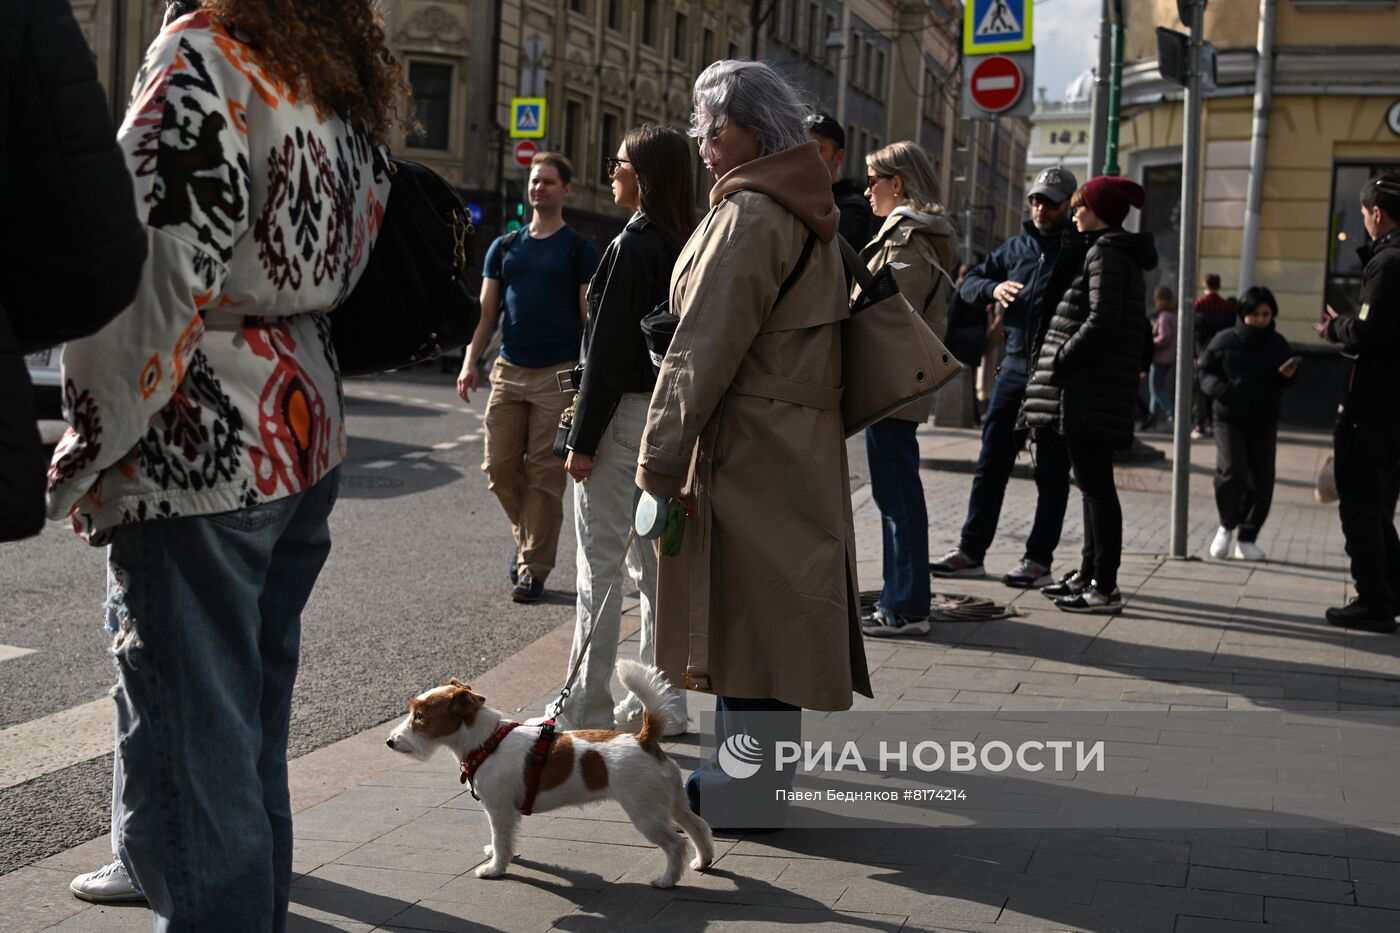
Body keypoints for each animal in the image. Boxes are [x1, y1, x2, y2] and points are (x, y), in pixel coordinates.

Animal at [383, 658, 711, 885]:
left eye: (420, 716)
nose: (389, 741)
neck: (487, 741)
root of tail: (645, 739)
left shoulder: (498, 809)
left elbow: (501, 838)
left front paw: (495, 868)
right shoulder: (508, 812)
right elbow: (506, 840)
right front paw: (501, 856)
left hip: (646, 813)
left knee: (676, 844)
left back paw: (667, 880)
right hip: (674, 801)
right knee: (697, 826)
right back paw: (703, 861)